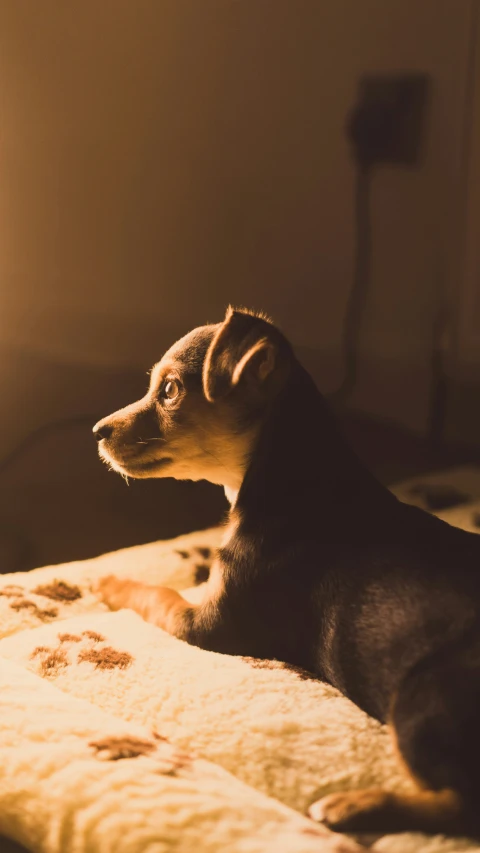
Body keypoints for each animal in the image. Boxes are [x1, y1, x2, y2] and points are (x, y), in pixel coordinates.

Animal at [93, 306, 480, 832]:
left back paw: (352, 806)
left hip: (421, 700)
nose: (97, 431)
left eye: (170, 390)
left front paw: (110, 582)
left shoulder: (208, 625)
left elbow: (157, 594)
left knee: (460, 803)